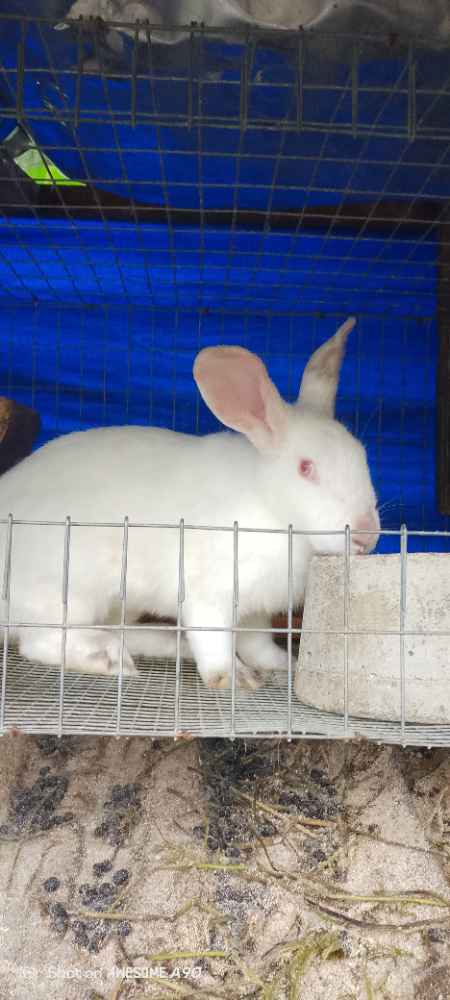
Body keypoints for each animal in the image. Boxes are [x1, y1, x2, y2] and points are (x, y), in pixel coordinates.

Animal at [0, 317, 380, 689]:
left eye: (363, 455)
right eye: (305, 468)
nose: (367, 536)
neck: (270, 509)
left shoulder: (257, 609)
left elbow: (257, 642)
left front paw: (283, 664)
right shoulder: (209, 595)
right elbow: (215, 642)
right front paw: (236, 679)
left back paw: (167, 645)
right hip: (65, 593)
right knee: (41, 641)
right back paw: (110, 660)